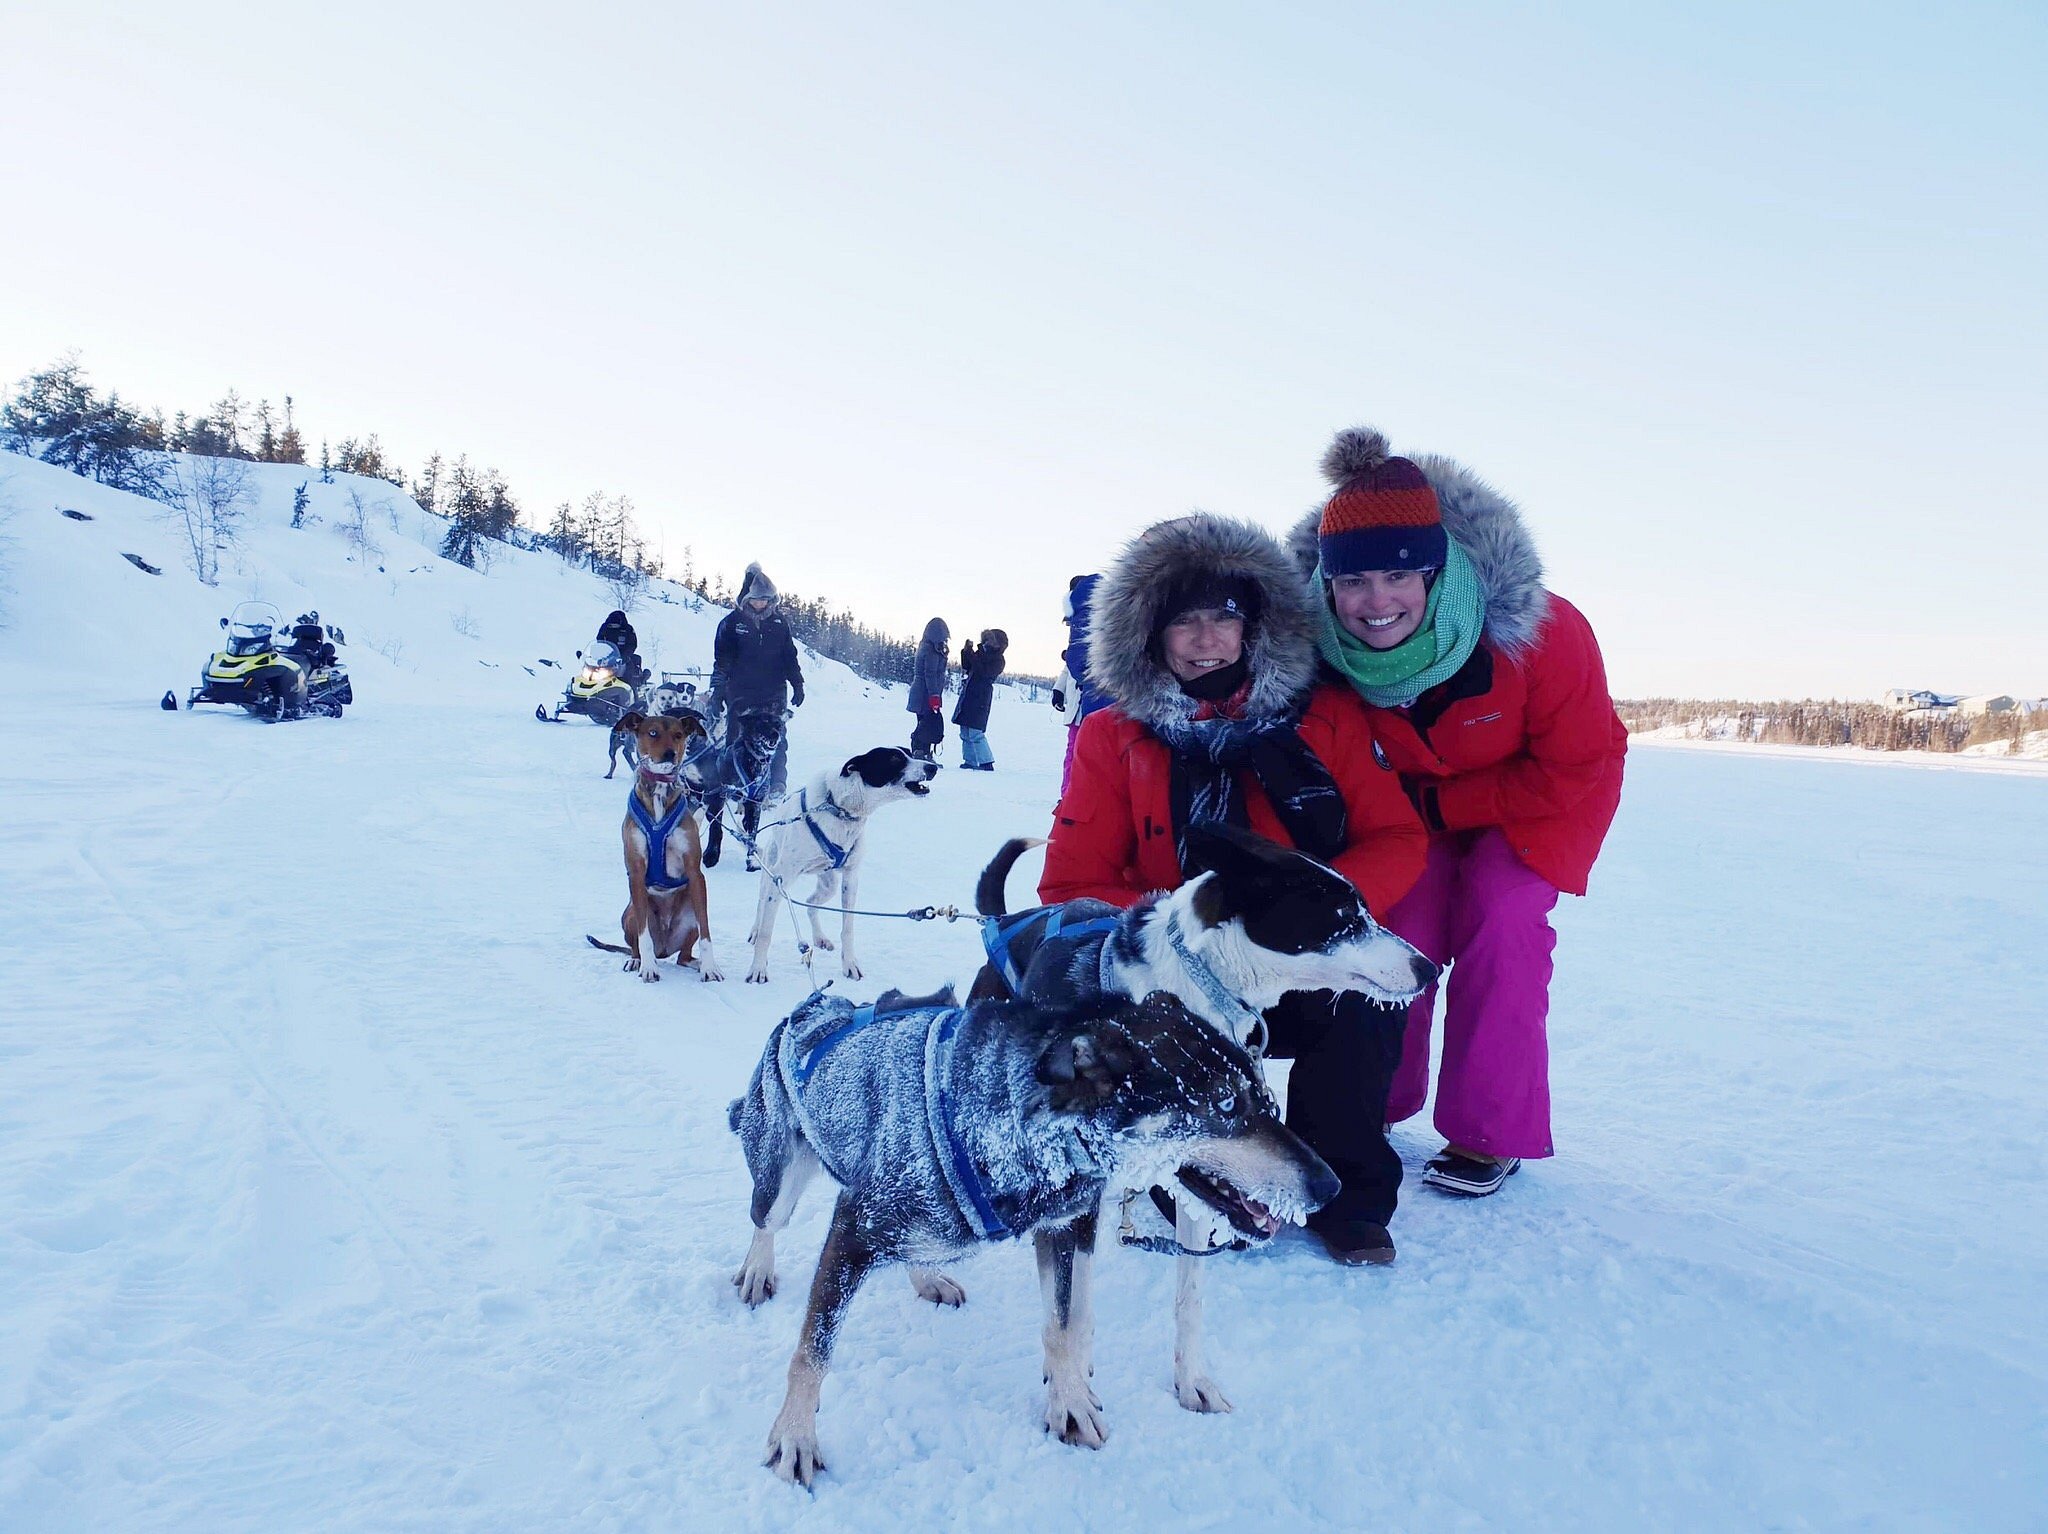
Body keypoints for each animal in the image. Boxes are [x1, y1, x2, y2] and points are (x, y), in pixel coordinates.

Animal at [729, 983, 1335, 1482]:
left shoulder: (1063, 1228)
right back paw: (758, 1269)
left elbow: (1063, 1326)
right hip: (779, 1180)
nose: (1329, 1185)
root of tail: (814, 1006)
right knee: (765, 1221)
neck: (1015, 1124)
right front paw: (794, 1436)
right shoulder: (854, 1230)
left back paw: (928, 1275)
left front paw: (1068, 1403)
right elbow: (812, 1354)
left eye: (1265, 1097)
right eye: (1225, 1105)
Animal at [745, 741, 937, 983]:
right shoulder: (781, 877)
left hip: (829, 885)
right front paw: (758, 968)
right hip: (770, 874)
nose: (933, 767)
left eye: (910, 753)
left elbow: (848, 929)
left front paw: (850, 964)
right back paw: (754, 930)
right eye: (894, 758)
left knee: (811, 903)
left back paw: (820, 937)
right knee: (761, 905)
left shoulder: (850, 878)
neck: (840, 809)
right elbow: (766, 932)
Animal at [974, 827, 1441, 1409]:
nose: (1430, 969)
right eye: (1344, 917)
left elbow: (1188, 1298)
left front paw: (1192, 1382)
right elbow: (1069, 1308)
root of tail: (1006, 921)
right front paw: (1072, 1400)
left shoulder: (1200, 1177)